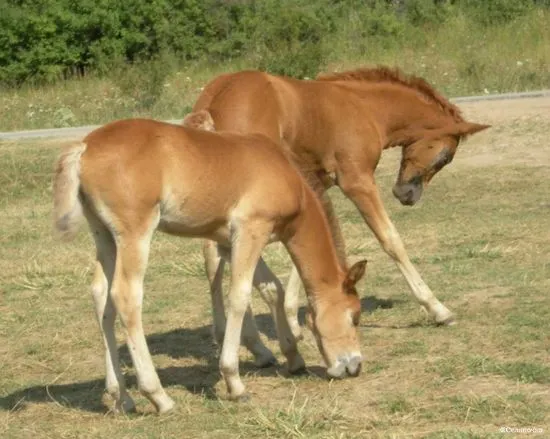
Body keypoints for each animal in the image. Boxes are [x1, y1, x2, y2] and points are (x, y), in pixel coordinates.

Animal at [54, 118, 368, 414]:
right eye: (355, 316)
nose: (354, 367)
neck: (286, 174)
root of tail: (85, 147)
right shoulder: (251, 230)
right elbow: (240, 296)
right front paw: (234, 382)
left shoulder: (231, 242)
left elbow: (271, 289)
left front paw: (293, 357)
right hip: (136, 233)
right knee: (125, 296)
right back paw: (159, 397)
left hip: (104, 236)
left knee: (101, 296)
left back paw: (121, 398)